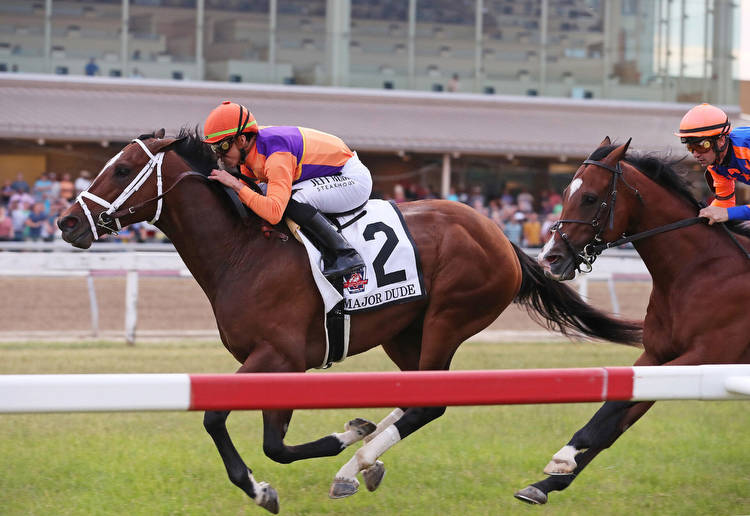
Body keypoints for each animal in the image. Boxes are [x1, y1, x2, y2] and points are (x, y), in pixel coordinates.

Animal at [57, 129, 640, 512]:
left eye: (123, 169)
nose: (65, 222)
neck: (243, 253)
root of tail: (498, 234)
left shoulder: (280, 356)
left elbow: (224, 423)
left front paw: (265, 486)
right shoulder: (279, 364)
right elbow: (272, 442)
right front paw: (344, 435)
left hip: (450, 316)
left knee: (429, 402)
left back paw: (355, 463)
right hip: (405, 333)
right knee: (414, 397)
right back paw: (363, 457)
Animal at [516, 136, 750, 504]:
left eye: (589, 198)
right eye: (565, 194)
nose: (548, 259)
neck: (698, 271)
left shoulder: (707, 356)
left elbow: (615, 408)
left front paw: (564, 458)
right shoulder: (655, 356)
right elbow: (614, 418)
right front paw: (547, 483)